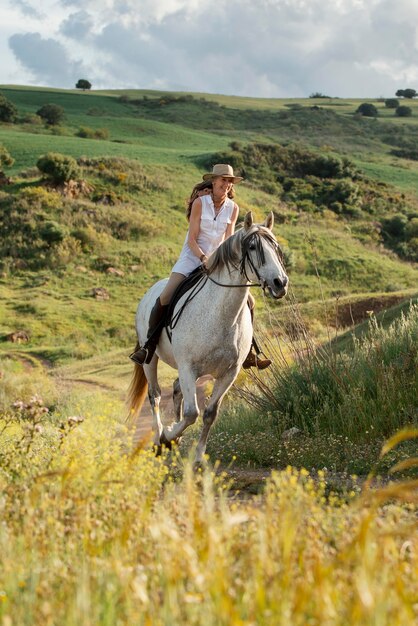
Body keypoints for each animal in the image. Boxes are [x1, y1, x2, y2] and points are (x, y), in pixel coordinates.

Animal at [127, 211, 290, 464]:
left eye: (275, 247)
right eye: (253, 247)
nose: (279, 283)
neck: (221, 314)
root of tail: (149, 293)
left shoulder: (229, 372)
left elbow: (209, 414)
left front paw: (197, 457)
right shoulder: (187, 367)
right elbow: (191, 413)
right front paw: (168, 436)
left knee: (176, 389)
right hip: (150, 360)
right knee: (155, 395)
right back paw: (159, 438)